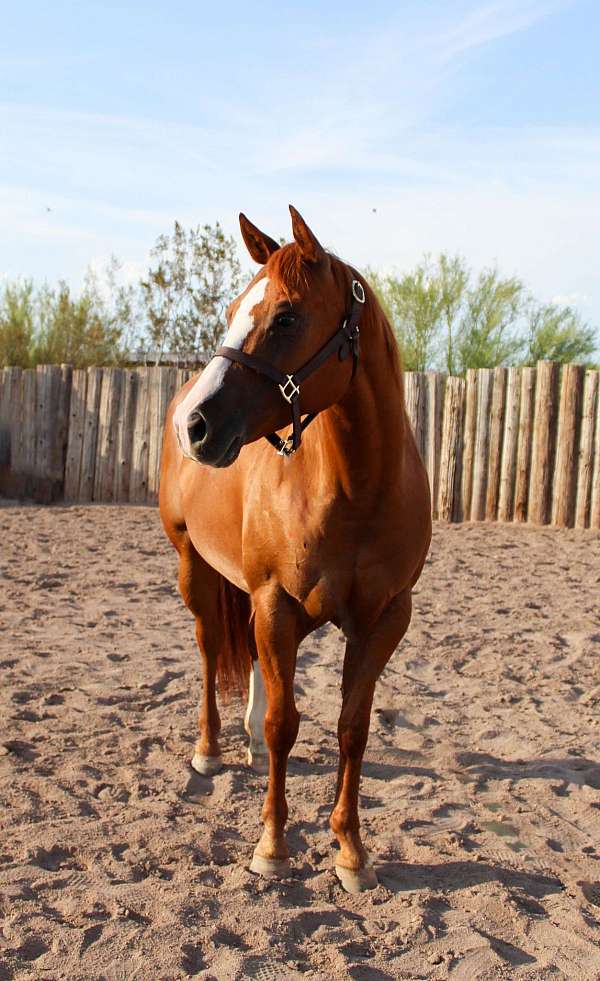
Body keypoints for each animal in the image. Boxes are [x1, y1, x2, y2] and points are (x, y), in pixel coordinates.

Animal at [159, 209, 432, 896]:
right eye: (234, 310)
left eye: (285, 317)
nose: (195, 426)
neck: (356, 488)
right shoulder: (275, 602)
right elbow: (286, 724)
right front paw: (273, 846)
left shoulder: (383, 620)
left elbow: (352, 729)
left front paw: (352, 852)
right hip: (196, 570)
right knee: (210, 649)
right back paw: (210, 749)